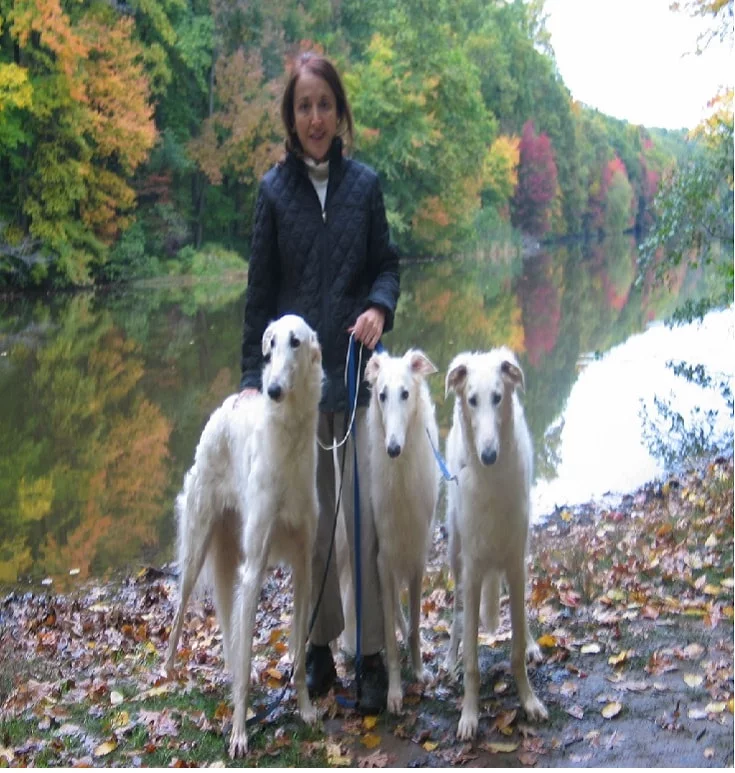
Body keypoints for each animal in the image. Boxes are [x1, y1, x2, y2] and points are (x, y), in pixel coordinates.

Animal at [165, 312, 324, 752]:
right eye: (270, 344)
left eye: (296, 342)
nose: (273, 390)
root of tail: (226, 405)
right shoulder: (253, 569)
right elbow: (248, 649)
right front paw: (238, 732)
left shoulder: (304, 567)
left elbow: (298, 655)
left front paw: (306, 709)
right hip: (199, 545)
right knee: (181, 612)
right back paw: (167, 672)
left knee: (226, 626)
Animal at [442, 346, 548, 740]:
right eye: (472, 400)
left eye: (498, 397)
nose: (489, 455)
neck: (491, 480)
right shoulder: (472, 573)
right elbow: (473, 660)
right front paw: (469, 716)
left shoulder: (515, 564)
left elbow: (515, 649)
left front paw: (529, 702)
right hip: (455, 553)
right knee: (457, 614)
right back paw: (449, 659)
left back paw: (532, 644)